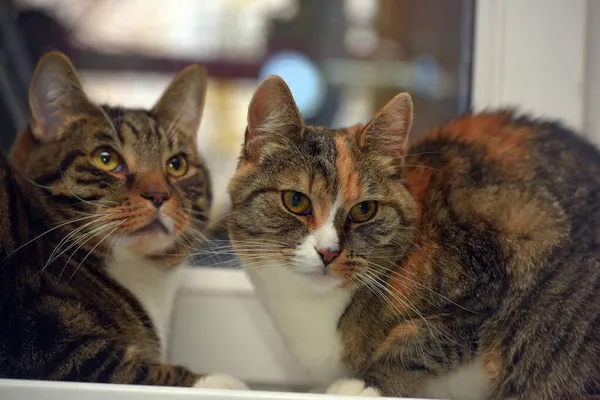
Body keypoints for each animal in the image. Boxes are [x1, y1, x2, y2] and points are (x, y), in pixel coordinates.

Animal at [0, 51, 246, 390]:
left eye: (177, 165)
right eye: (106, 159)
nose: (158, 194)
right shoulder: (41, 340)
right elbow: (129, 368)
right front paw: (218, 381)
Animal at [229, 76, 600, 400]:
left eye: (364, 210)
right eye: (296, 201)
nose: (328, 251)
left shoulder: (502, 257)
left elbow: (421, 340)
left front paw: (366, 385)